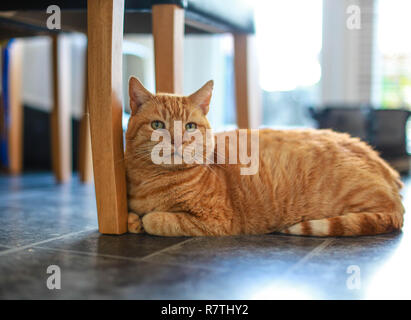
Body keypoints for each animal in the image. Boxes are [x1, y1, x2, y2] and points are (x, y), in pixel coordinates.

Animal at [126, 77, 406, 238]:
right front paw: (131, 219)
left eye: (190, 127)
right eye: (157, 125)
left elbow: (159, 220)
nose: (177, 140)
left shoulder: (217, 221)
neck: (151, 182)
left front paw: (145, 219)